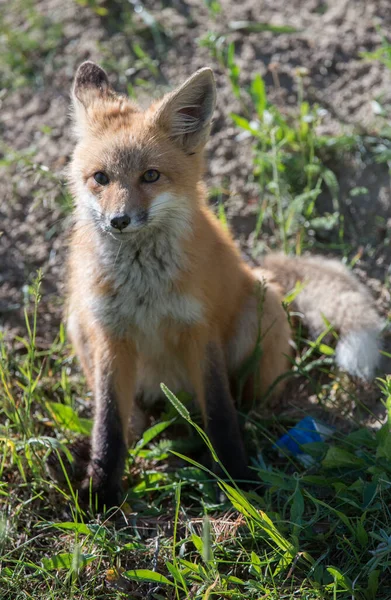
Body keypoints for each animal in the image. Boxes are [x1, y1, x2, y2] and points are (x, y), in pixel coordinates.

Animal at [66, 61, 384, 508]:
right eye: (101, 178)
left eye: (150, 176)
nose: (119, 221)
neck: (144, 289)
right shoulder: (111, 335)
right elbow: (108, 424)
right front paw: (100, 491)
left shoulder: (199, 331)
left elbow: (219, 413)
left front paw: (238, 479)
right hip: (78, 324)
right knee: (134, 419)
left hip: (262, 313)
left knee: (250, 405)